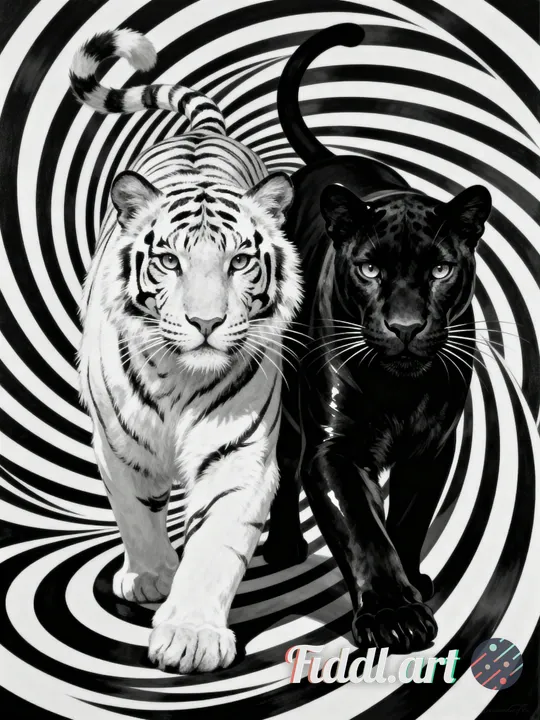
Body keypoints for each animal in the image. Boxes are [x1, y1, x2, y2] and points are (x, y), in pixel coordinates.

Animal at [71, 28, 302, 673]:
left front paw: (192, 635)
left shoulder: (239, 455)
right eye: (170, 260)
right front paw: (152, 577)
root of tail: (205, 131)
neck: (180, 377)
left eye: (240, 260)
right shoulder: (118, 446)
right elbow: (136, 514)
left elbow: (216, 546)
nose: (206, 321)